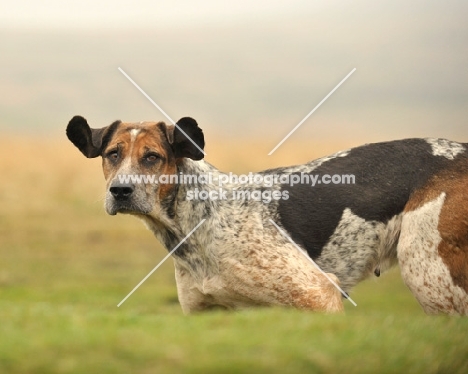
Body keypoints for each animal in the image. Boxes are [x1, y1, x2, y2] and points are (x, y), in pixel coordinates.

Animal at [66, 115, 468, 314]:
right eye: (113, 154)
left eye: (152, 157)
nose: (120, 191)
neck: (197, 220)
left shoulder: (318, 295)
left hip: (430, 277)